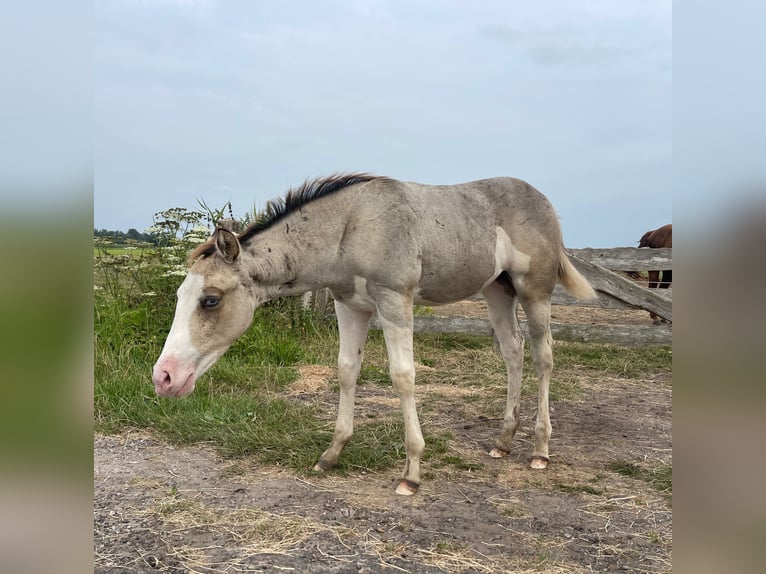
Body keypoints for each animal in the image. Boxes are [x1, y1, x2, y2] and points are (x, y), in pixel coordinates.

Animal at [153, 173, 596, 498]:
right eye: (179, 296)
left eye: (210, 300)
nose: (164, 377)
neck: (351, 228)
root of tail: (542, 199)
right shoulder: (350, 306)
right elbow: (347, 370)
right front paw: (331, 455)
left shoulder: (394, 301)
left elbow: (403, 376)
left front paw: (411, 473)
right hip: (497, 290)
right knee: (512, 351)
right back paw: (503, 441)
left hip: (534, 291)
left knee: (543, 356)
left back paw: (540, 450)